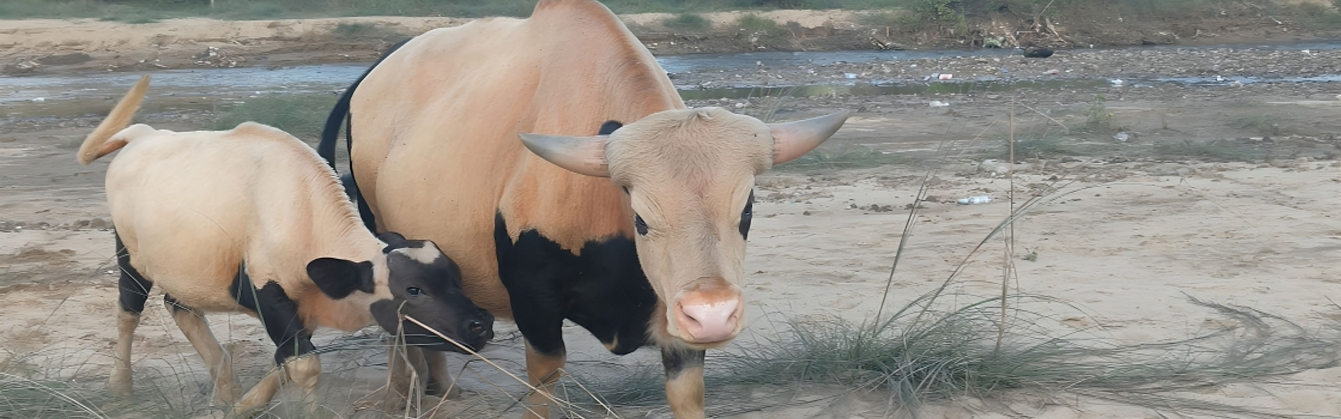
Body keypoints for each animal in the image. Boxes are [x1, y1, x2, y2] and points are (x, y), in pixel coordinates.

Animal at [77, 75, 495, 417]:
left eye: (456, 276)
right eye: (413, 290)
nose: (480, 325)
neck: (302, 210)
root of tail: (145, 134)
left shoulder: (300, 307)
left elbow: (286, 360)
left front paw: (242, 407)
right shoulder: (268, 293)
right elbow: (304, 364)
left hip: (187, 266)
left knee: (179, 306)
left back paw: (225, 389)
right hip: (130, 256)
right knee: (128, 312)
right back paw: (121, 386)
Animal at [317, 1, 850, 417]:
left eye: (745, 212)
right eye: (641, 219)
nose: (713, 315)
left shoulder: (677, 329)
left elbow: (688, 391)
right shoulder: (534, 303)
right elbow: (545, 378)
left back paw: (442, 388)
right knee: (399, 331)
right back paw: (400, 396)